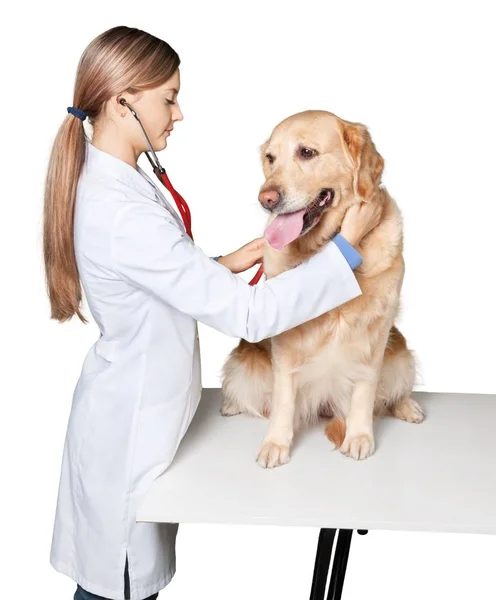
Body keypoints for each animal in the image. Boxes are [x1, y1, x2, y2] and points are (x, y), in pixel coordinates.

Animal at [221, 111, 426, 468]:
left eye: (306, 152)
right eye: (270, 158)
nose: (266, 199)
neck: (326, 243)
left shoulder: (376, 331)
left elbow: (366, 388)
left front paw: (359, 436)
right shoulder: (285, 335)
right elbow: (284, 397)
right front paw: (276, 443)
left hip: (400, 353)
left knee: (391, 391)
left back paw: (406, 406)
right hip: (244, 362)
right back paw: (232, 404)